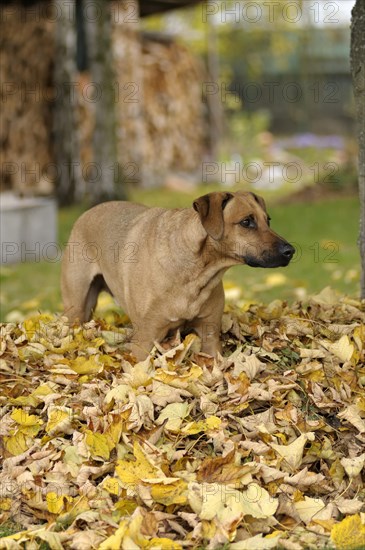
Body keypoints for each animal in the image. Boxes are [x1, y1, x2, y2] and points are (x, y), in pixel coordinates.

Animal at [59, 192, 292, 360]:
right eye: (246, 222)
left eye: (268, 220)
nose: (290, 251)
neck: (197, 273)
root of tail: (86, 213)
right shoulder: (145, 341)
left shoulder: (209, 335)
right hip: (77, 307)